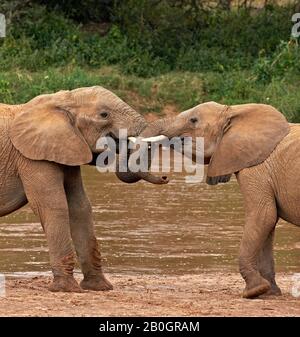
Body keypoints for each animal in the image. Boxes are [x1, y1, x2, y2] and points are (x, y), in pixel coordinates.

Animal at [0, 86, 168, 292]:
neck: (60, 101)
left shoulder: (68, 148)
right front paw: (66, 289)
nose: (165, 176)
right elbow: (54, 206)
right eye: (104, 115)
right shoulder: (31, 157)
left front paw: (99, 287)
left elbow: (80, 207)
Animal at [138, 101, 298, 298]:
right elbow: (269, 222)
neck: (234, 111)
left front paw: (254, 291)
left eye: (193, 120)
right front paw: (269, 293)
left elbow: (263, 215)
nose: (164, 177)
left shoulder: (255, 168)